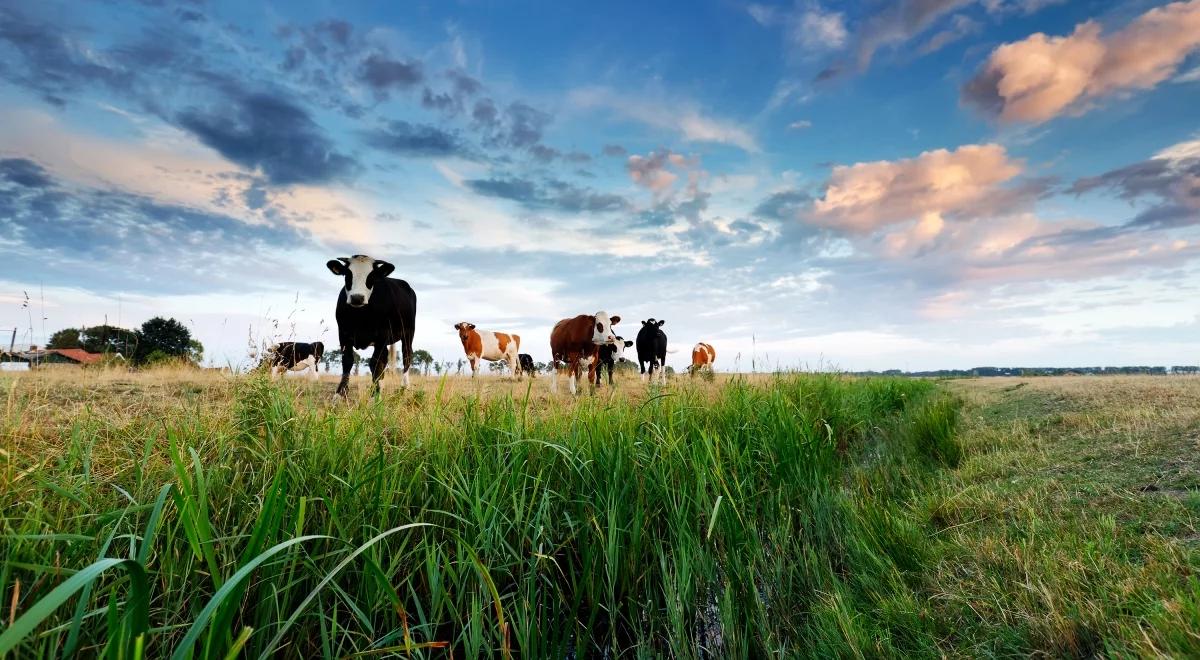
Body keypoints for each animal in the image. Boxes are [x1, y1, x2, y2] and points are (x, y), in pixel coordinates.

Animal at [328, 254, 417, 398]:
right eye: (347, 274)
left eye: (372, 276)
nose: (357, 298)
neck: (361, 316)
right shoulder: (343, 333)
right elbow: (347, 361)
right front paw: (340, 393)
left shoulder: (383, 334)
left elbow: (375, 363)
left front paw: (375, 394)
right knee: (385, 358)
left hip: (408, 333)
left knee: (407, 356)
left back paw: (404, 387)